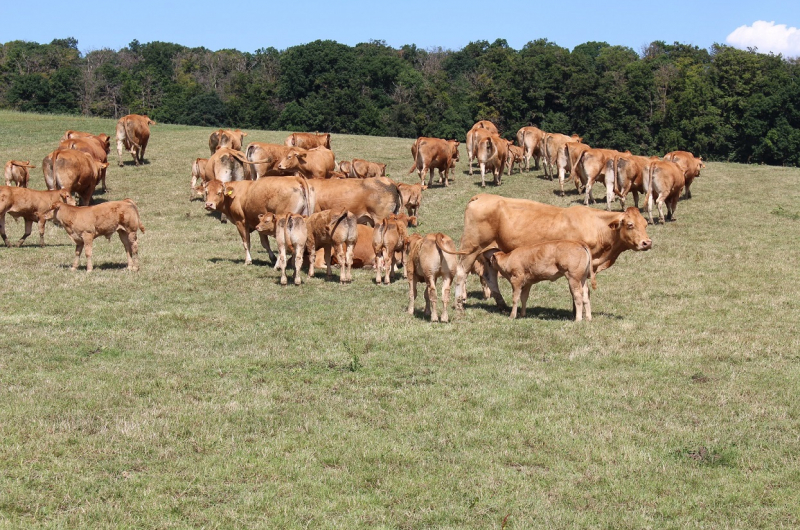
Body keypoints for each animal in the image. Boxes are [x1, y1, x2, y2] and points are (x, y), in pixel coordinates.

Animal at [450, 194, 648, 310]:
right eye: (630, 225)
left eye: (646, 224)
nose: (647, 242)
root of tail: (482, 196)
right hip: (471, 248)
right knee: (461, 273)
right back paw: (459, 305)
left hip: (489, 250)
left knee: (489, 276)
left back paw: (502, 304)